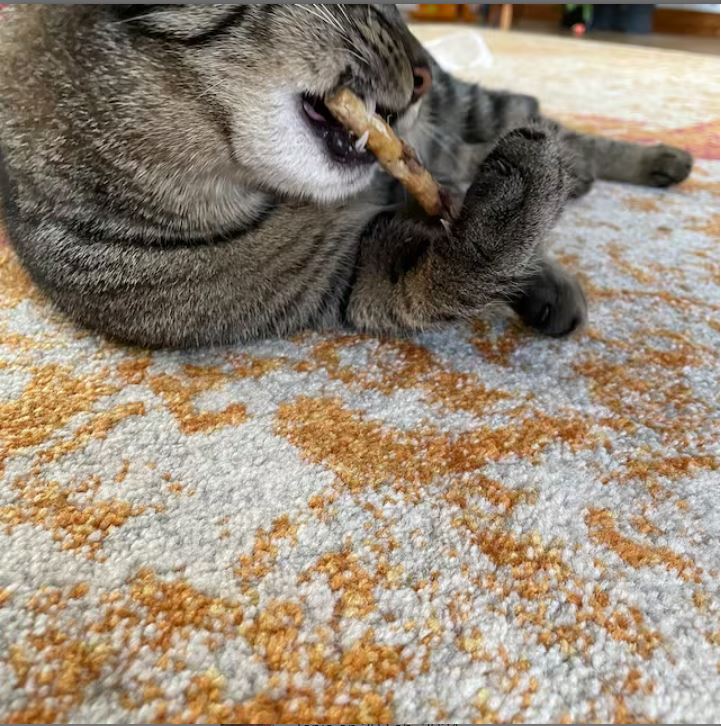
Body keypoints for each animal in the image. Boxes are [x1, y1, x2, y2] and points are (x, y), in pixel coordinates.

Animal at [0, 3, 692, 350]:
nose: (424, 72)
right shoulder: (343, 274)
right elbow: (444, 267)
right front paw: (518, 217)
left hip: (466, 107)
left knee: (534, 111)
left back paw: (647, 159)